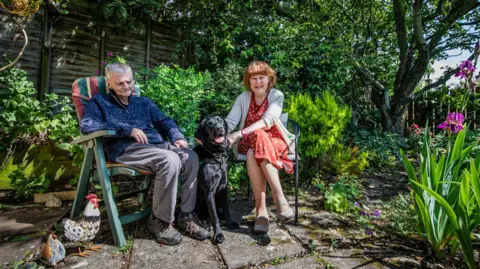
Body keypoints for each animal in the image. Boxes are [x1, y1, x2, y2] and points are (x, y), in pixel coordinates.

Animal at [194, 115, 239, 243]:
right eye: (209, 124)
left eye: (220, 121)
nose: (219, 128)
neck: (217, 157)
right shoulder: (209, 192)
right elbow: (214, 216)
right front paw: (218, 234)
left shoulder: (223, 188)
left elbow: (226, 209)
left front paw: (230, 223)